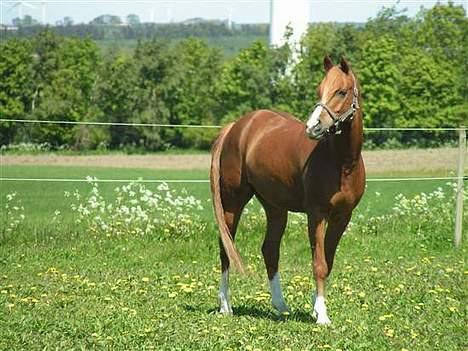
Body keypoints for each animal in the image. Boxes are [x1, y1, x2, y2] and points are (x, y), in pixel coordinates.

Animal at [209, 57, 366, 324]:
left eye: (341, 91)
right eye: (319, 90)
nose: (313, 127)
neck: (342, 163)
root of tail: (234, 127)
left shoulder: (343, 217)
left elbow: (328, 261)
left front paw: (316, 308)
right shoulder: (316, 215)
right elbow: (319, 263)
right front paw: (322, 316)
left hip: (275, 208)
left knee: (269, 250)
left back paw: (280, 305)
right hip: (232, 202)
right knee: (225, 248)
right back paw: (225, 306)